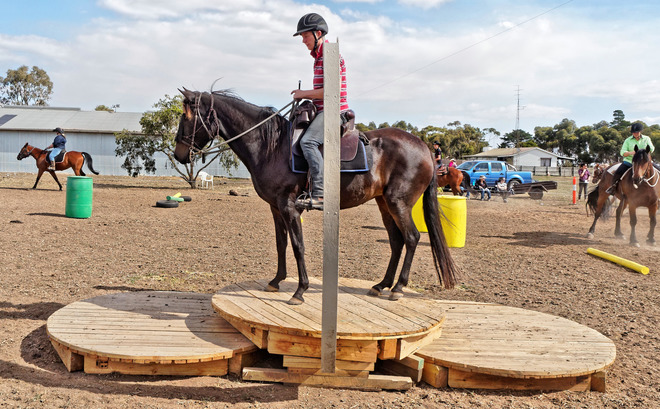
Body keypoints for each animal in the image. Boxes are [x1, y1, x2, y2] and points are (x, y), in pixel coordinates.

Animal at [173, 89, 458, 305]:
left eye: (187, 118)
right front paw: (277, 281)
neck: (271, 147)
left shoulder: (289, 207)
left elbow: (298, 246)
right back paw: (382, 285)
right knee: (397, 241)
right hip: (384, 203)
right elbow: (281, 244)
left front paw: (300, 290)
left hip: (399, 203)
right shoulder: (275, 208)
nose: (178, 154)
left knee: (411, 238)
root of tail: (422, 146)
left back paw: (398, 288)